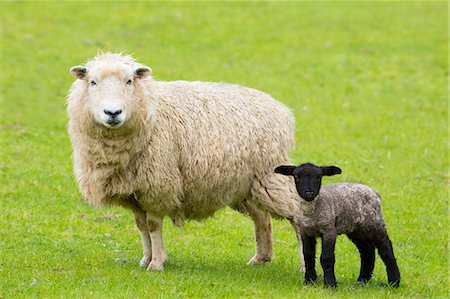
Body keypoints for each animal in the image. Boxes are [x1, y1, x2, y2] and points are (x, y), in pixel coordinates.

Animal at [67, 52, 306, 274]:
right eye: (92, 82)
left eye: (129, 81)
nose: (113, 113)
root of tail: (280, 109)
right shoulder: (135, 192)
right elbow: (141, 226)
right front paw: (145, 259)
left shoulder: (158, 186)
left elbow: (153, 226)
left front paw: (156, 263)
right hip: (245, 185)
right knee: (262, 217)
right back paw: (260, 258)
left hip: (270, 174)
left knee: (297, 214)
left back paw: (304, 266)